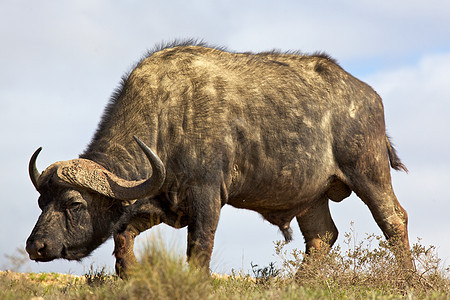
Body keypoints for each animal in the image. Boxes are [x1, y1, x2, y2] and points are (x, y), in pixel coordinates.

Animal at [25, 41, 412, 276]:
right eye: (42, 202)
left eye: (74, 204)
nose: (36, 246)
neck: (168, 119)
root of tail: (369, 95)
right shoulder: (158, 205)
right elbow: (122, 239)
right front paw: (129, 274)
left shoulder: (207, 197)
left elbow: (199, 250)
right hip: (311, 197)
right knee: (322, 236)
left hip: (368, 171)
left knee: (394, 219)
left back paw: (408, 278)